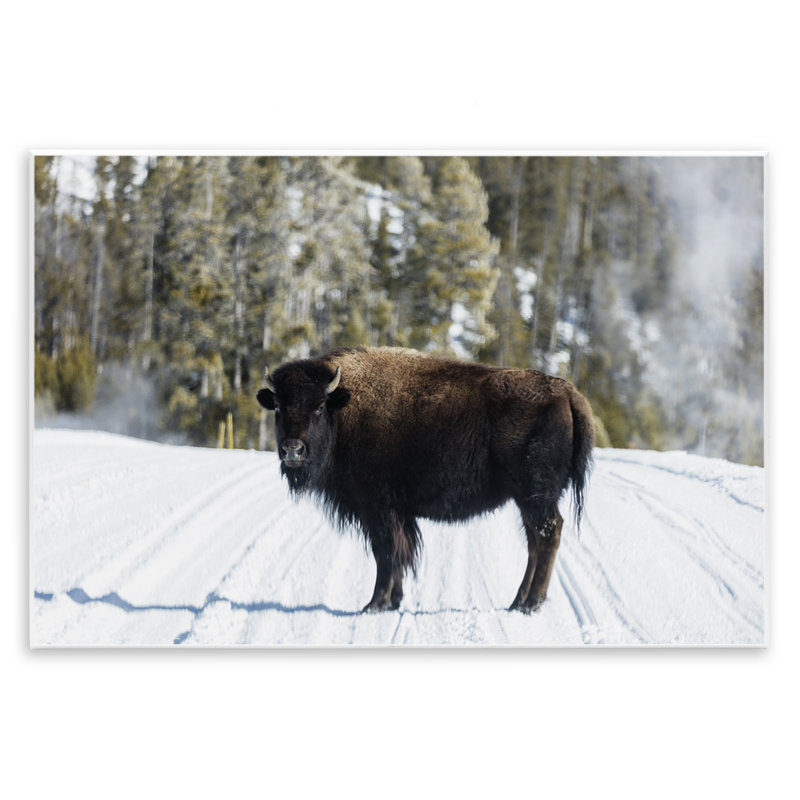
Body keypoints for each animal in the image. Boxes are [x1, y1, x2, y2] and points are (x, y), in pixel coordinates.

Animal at [256, 346, 594, 613]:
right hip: (527, 500)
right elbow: (397, 554)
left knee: (547, 535)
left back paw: (530, 604)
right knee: (535, 543)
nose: (292, 450)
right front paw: (393, 601)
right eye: (278, 406)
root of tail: (567, 393)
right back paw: (517, 602)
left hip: (535, 496)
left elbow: (387, 554)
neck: (343, 409)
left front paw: (375, 604)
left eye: (318, 406)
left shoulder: (379, 509)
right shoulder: (395, 514)